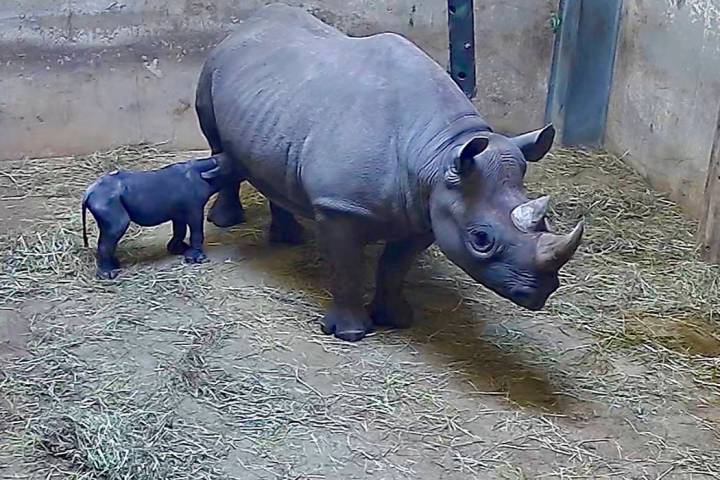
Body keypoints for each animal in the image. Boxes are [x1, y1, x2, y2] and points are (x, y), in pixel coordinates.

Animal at [81, 156, 228, 280]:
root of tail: (88, 192)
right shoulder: (194, 207)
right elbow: (196, 228)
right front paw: (198, 259)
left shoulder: (179, 211)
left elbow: (179, 229)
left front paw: (178, 249)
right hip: (105, 201)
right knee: (117, 227)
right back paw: (108, 274)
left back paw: (114, 266)